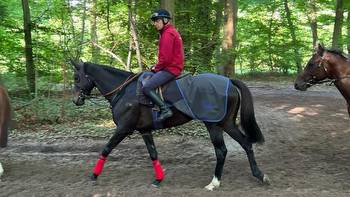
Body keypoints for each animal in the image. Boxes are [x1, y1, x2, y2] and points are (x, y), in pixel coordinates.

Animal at [70, 61, 268, 189]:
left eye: (77, 77)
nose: (76, 100)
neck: (123, 91)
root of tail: (228, 81)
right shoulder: (144, 131)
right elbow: (153, 154)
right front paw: (158, 179)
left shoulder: (123, 129)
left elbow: (106, 149)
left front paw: (94, 175)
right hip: (227, 123)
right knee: (246, 143)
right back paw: (259, 175)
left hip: (213, 125)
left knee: (221, 151)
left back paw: (214, 183)